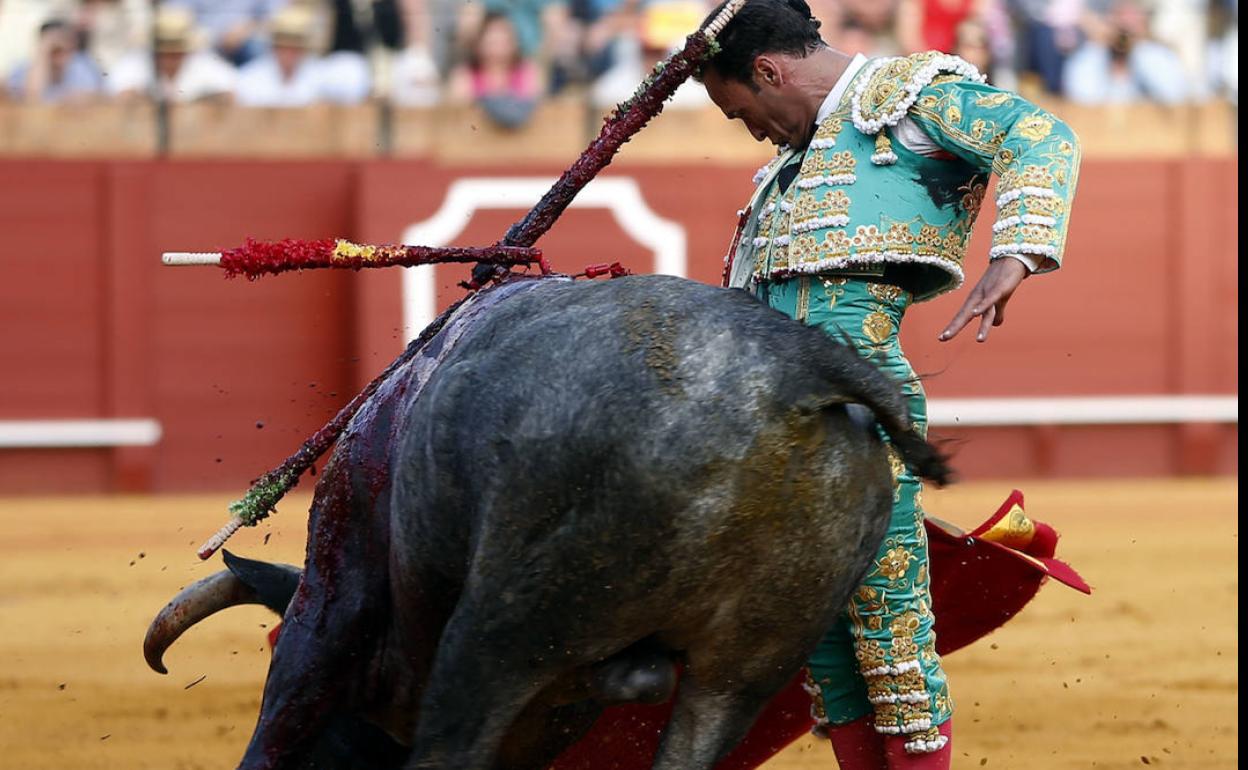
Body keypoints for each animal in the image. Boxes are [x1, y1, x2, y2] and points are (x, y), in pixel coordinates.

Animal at [143, 274, 943, 768]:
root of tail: (793, 368)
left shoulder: (332, 602)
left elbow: (279, 725)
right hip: (745, 668)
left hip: (501, 626)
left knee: (449, 744)